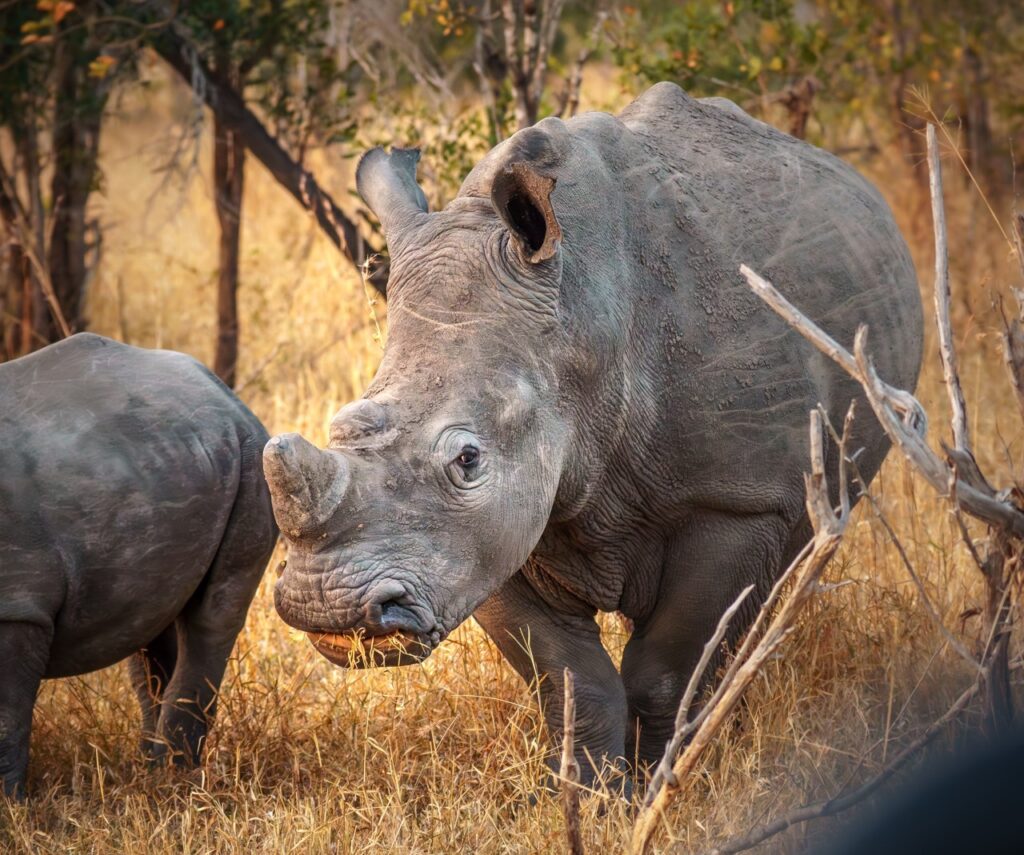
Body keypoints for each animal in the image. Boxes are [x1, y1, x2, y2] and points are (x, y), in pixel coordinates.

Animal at [0, 333, 278, 797]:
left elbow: (4, 718)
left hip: (252, 459)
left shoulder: (18, 603)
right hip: (175, 460)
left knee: (211, 619)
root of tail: (225, 393)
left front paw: (11, 804)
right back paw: (152, 775)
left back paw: (175, 784)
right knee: (153, 621)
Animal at [266, 83, 922, 786]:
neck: (576, 330)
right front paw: (592, 793)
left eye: (468, 459)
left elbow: (667, 672)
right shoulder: (487, 537)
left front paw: (664, 781)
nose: (326, 607)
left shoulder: (737, 499)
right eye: (339, 427)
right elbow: (570, 682)